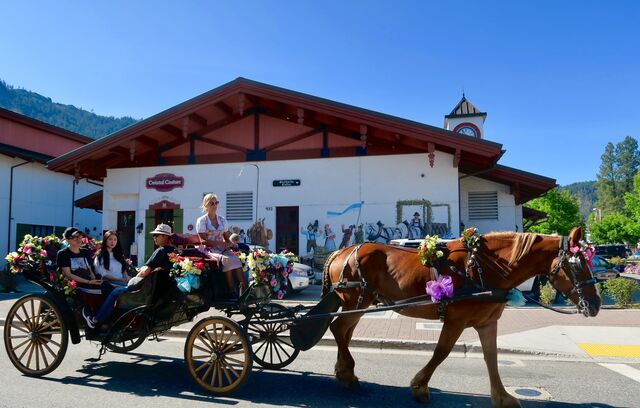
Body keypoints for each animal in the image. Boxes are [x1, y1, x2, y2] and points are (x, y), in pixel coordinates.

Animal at [322, 228, 604, 406]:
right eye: (577, 265)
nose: (596, 304)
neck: (480, 267)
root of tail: (341, 252)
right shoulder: (455, 320)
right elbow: (441, 352)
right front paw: (420, 386)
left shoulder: (487, 322)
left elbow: (492, 358)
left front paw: (502, 397)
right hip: (356, 301)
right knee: (338, 330)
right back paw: (347, 374)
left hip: (359, 303)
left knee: (344, 333)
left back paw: (344, 371)